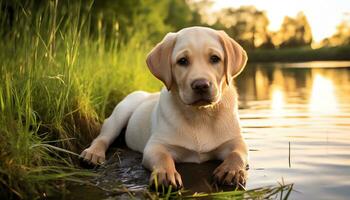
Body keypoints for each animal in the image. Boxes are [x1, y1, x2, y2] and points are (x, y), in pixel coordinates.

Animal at [80, 26, 247, 188]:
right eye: (182, 61)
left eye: (215, 58)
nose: (201, 85)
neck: (200, 114)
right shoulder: (155, 145)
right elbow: (163, 157)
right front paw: (165, 174)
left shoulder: (235, 141)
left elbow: (237, 154)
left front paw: (231, 170)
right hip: (120, 113)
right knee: (103, 137)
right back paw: (93, 154)